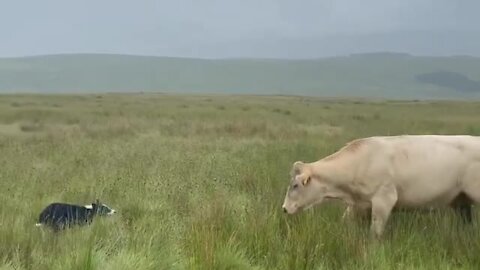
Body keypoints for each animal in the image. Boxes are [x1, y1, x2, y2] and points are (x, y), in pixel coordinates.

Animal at [280, 135, 480, 238]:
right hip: (462, 202)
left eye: (295, 185)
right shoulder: (359, 205)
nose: (284, 209)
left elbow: (375, 232)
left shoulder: (384, 200)